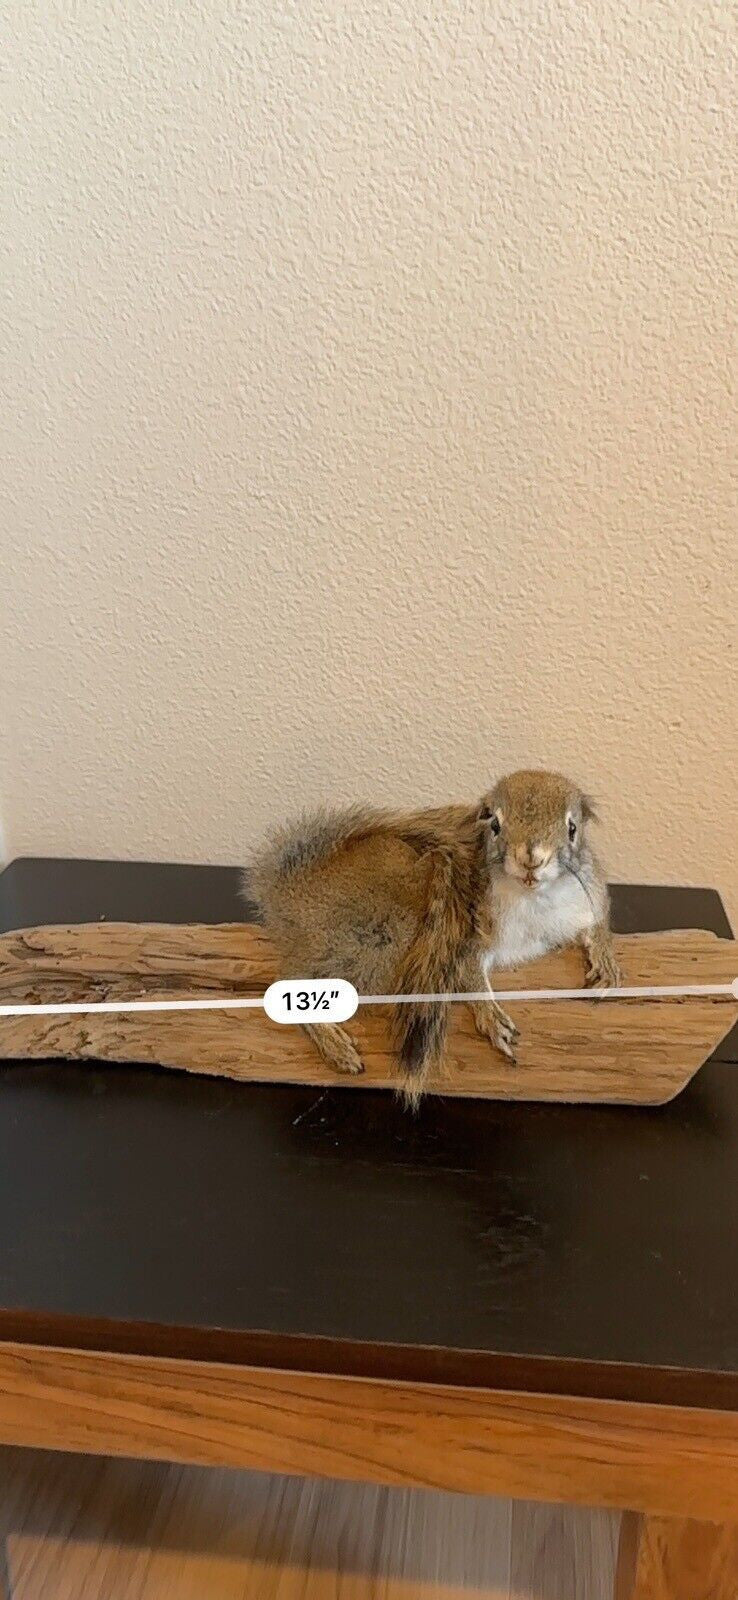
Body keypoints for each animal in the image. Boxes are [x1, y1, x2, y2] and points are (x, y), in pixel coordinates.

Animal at [247, 768, 622, 1105]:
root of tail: (288, 892)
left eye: (572, 829)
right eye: (495, 825)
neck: (534, 897)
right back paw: (334, 1044)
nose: (531, 858)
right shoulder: (471, 932)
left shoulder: (584, 900)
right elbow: (471, 974)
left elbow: (598, 925)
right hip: (379, 938)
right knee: (291, 979)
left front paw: (606, 958)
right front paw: (490, 1016)